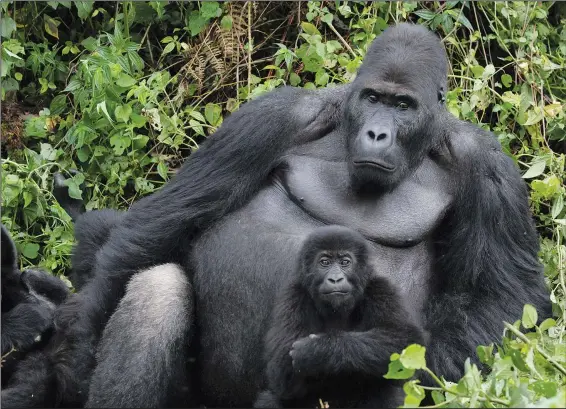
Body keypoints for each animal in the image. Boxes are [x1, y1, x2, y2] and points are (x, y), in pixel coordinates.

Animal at [256, 225, 426, 406]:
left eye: (345, 262)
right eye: (324, 262)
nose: (335, 279)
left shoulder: (380, 288)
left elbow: (406, 340)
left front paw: (317, 351)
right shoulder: (293, 296)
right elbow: (282, 374)